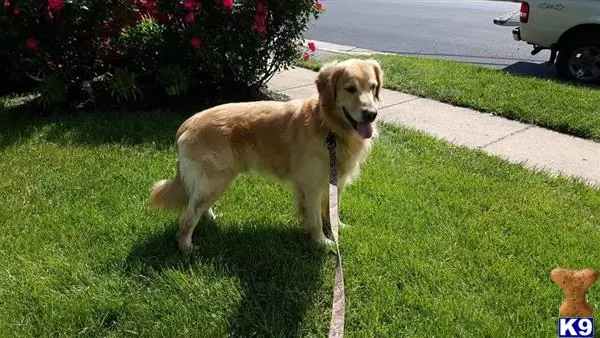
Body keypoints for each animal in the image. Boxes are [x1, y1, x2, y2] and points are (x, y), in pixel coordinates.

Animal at [150, 58, 384, 254]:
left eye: (373, 87)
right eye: (350, 89)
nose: (371, 114)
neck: (329, 127)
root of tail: (187, 124)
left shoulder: (334, 181)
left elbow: (330, 210)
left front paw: (337, 228)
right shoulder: (312, 185)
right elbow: (316, 217)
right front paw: (321, 241)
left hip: (214, 182)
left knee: (198, 207)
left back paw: (212, 220)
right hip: (215, 180)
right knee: (188, 218)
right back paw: (186, 247)